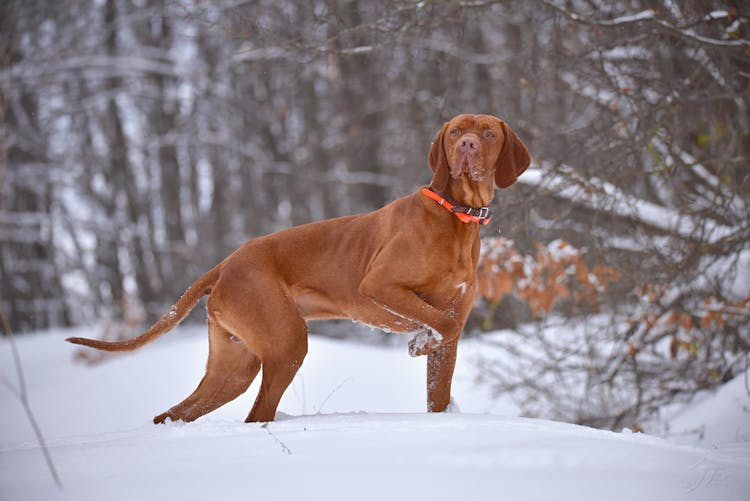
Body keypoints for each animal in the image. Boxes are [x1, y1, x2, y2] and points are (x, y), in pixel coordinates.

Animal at [67, 113, 532, 422]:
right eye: (455, 131)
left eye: (487, 133)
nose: (467, 145)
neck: (456, 217)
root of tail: (224, 264)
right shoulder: (380, 287)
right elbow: (441, 325)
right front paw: (419, 341)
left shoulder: (448, 330)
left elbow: (440, 374)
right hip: (287, 344)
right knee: (256, 414)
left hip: (234, 368)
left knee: (178, 412)